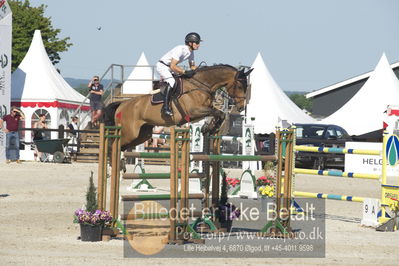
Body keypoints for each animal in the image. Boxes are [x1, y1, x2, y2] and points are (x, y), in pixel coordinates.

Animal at [103, 64, 253, 151]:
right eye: (240, 86)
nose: (241, 107)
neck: (200, 85)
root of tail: (121, 104)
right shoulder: (195, 111)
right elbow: (219, 113)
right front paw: (210, 128)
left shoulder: (204, 110)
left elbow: (218, 113)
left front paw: (209, 128)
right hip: (130, 133)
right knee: (114, 144)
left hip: (142, 134)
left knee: (123, 146)